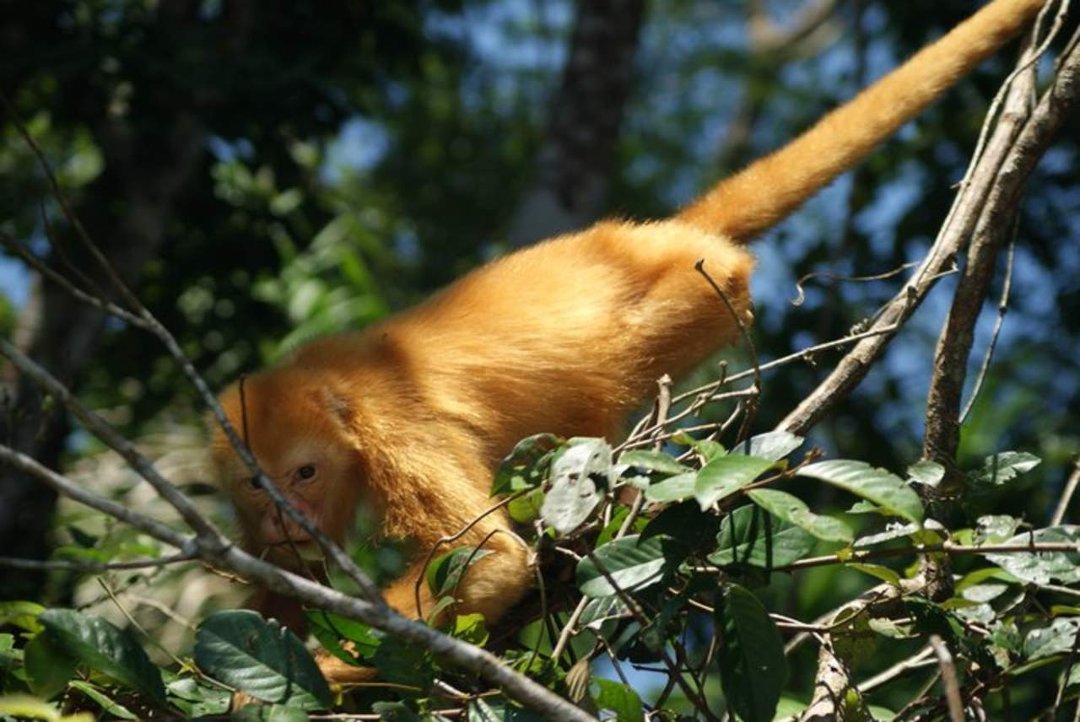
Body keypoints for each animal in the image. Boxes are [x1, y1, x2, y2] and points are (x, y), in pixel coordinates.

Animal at [210, 0, 1046, 684]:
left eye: (306, 472)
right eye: (258, 483)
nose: (284, 515)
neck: (338, 391)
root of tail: (649, 236)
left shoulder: (397, 433)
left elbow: (490, 563)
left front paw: (319, 670)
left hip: (697, 293)